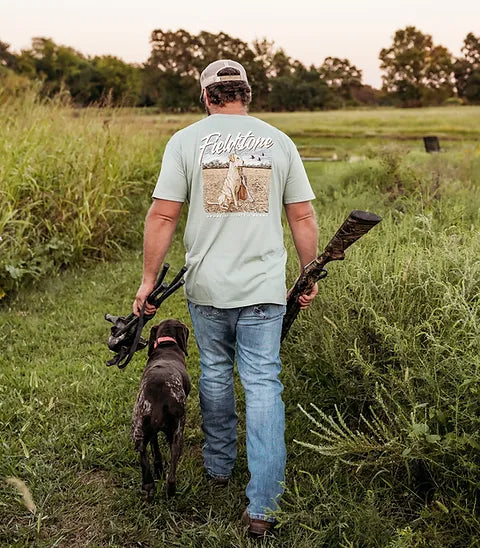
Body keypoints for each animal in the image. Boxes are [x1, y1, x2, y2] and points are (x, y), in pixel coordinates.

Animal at [132, 318, 192, 498]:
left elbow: (155, 451)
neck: (167, 343)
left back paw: (148, 485)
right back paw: (171, 492)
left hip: (139, 429)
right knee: (171, 472)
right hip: (178, 431)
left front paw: (157, 470)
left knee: (144, 456)